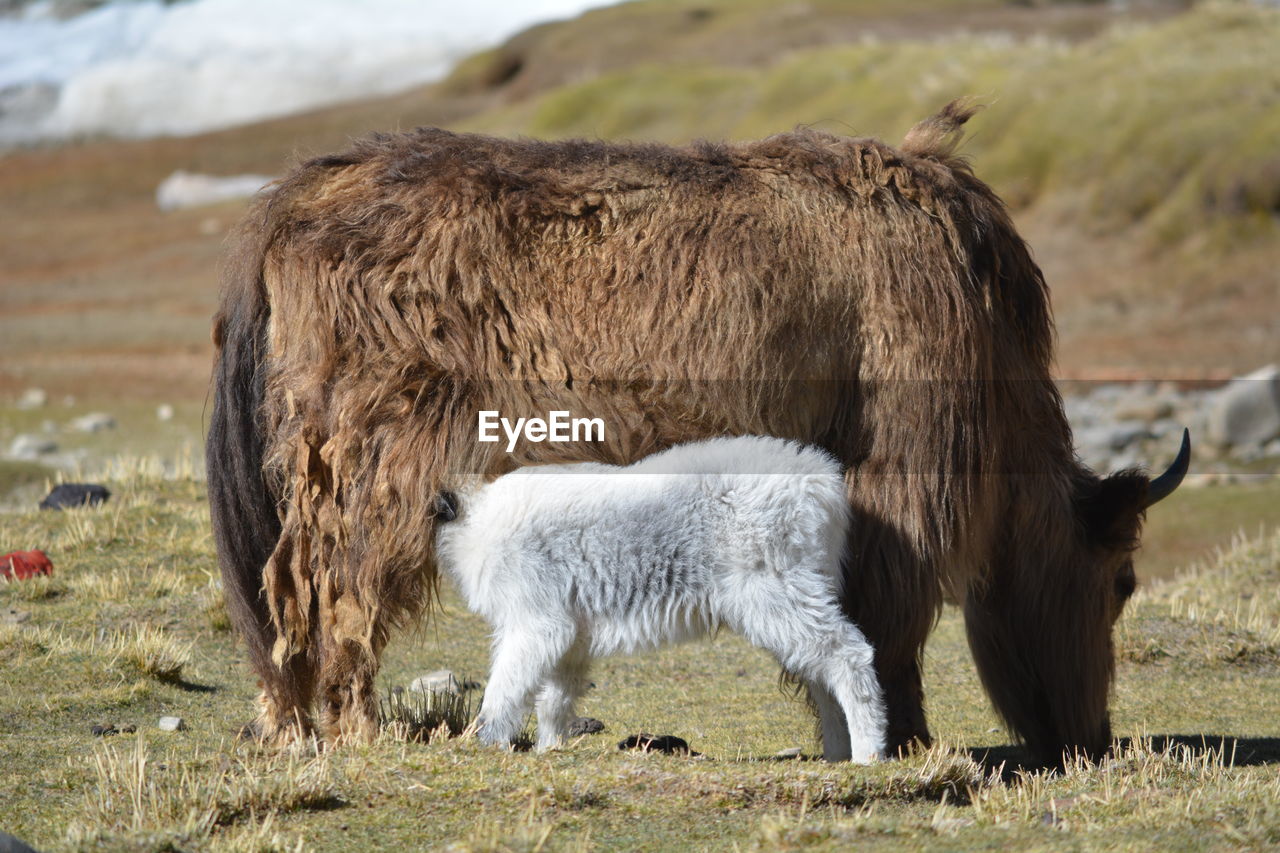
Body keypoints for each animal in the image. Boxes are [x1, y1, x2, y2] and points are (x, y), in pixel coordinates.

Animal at [435, 435, 885, 758]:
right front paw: (550, 752)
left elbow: (505, 691)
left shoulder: (536, 622)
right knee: (820, 675)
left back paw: (868, 754)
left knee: (847, 655)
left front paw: (486, 744)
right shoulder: (572, 634)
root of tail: (822, 486)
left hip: (776, 591)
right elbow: (555, 700)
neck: (479, 520)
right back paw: (838, 754)